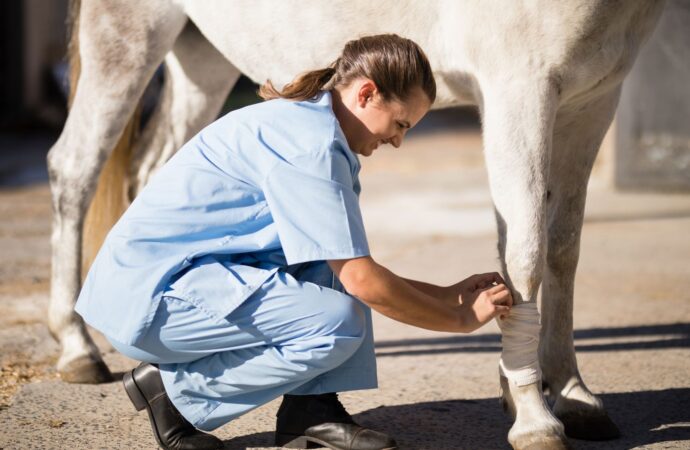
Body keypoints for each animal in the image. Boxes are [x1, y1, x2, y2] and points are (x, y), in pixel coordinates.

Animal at [47, 1, 660, 448]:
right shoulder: (519, 88)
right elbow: (525, 253)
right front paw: (534, 417)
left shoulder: (593, 99)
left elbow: (562, 250)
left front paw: (574, 396)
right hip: (125, 38)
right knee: (73, 168)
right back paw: (79, 348)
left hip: (201, 58)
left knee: (156, 168)